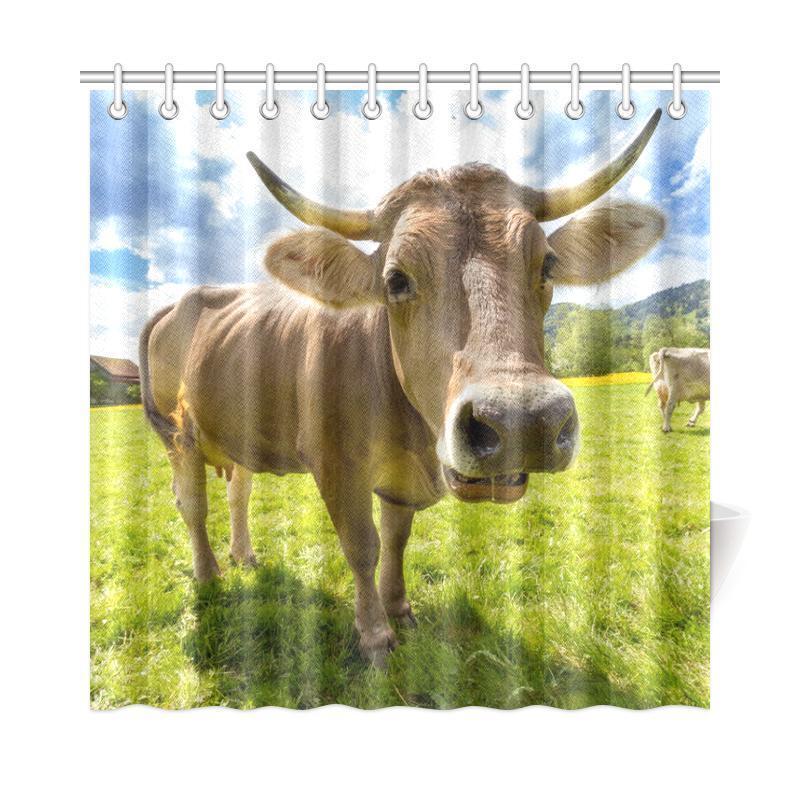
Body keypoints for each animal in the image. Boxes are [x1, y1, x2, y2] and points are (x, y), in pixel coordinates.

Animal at [140, 110, 666, 665]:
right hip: (179, 435)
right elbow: (362, 545)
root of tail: (184, 299)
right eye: (395, 279)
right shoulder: (335, 464)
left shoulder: (399, 479)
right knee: (192, 504)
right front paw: (374, 633)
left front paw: (400, 609)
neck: (409, 429)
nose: (524, 421)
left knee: (238, 490)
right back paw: (209, 573)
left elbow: (396, 539)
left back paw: (244, 555)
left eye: (548, 264)